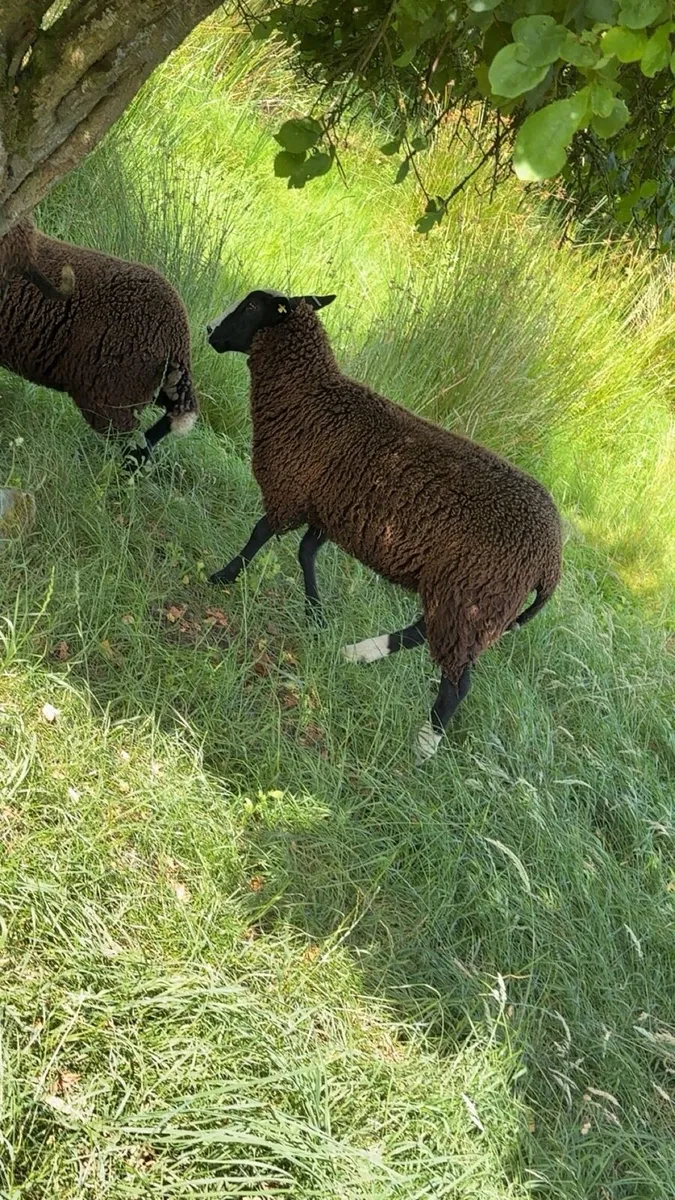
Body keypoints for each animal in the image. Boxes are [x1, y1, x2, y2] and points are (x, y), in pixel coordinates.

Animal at [206, 289, 562, 761]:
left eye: (250, 307)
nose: (209, 331)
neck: (311, 394)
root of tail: (551, 561)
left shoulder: (294, 490)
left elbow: (260, 534)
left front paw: (224, 576)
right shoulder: (330, 507)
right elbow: (305, 552)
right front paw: (316, 615)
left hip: (471, 594)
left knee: (457, 682)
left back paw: (424, 746)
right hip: (466, 597)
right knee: (424, 633)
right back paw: (357, 653)